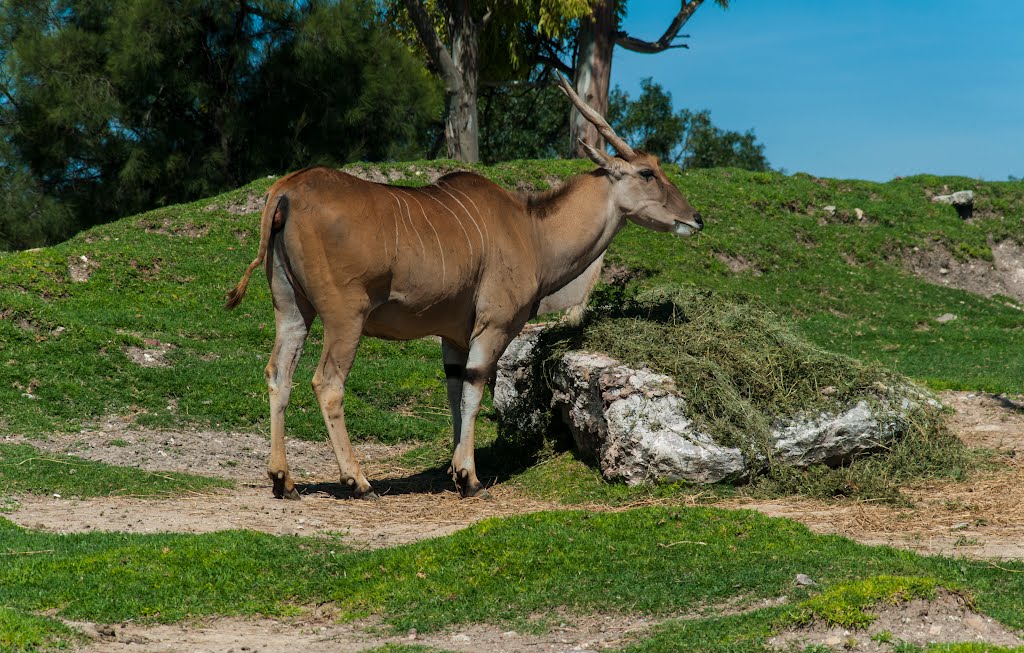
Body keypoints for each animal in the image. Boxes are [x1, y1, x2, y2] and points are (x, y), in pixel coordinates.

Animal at [226, 74, 704, 501]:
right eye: (647, 173)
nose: (695, 218)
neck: (531, 231)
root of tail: (286, 192)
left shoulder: (453, 336)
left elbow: (456, 393)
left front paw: (455, 472)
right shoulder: (493, 327)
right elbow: (475, 392)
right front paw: (469, 478)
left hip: (291, 309)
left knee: (278, 374)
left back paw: (283, 481)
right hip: (346, 317)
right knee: (326, 383)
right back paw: (358, 482)